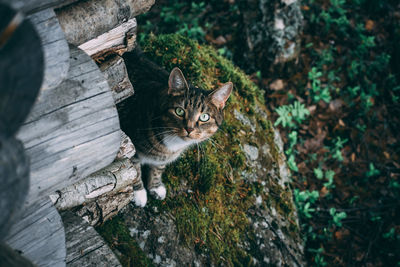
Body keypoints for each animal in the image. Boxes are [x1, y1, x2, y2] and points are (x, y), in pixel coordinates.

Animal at [117, 49, 233, 208]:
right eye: (179, 111)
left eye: (204, 117)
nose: (189, 129)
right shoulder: (129, 143)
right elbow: (133, 170)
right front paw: (138, 192)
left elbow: (158, 168)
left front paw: (155, 186)